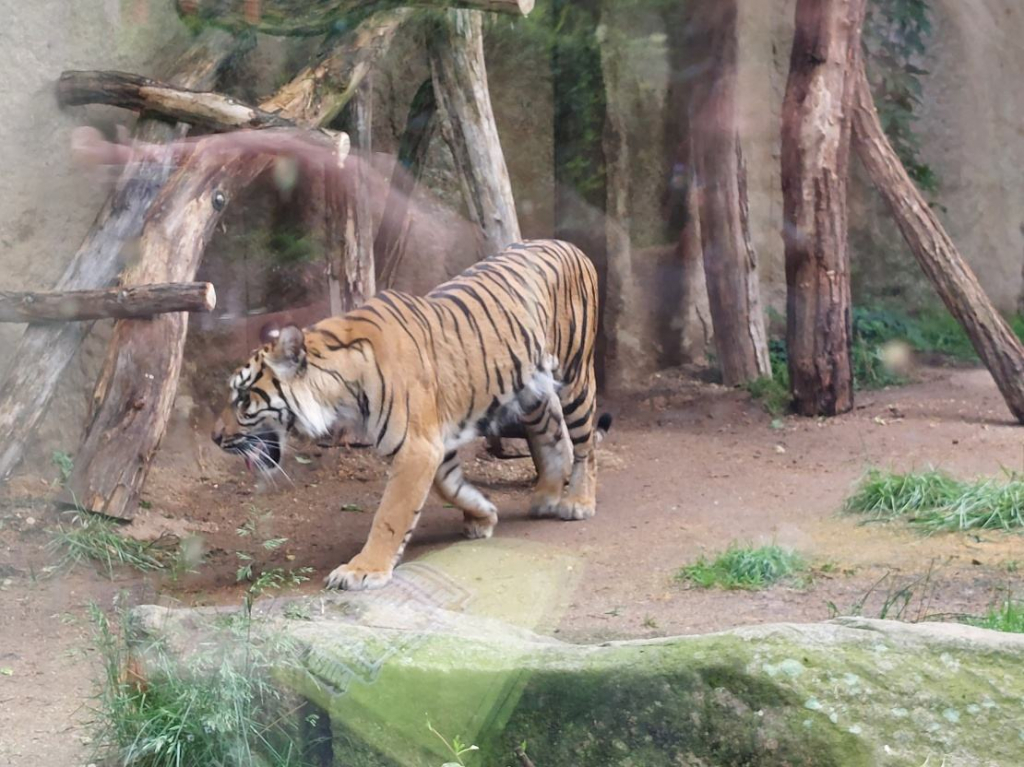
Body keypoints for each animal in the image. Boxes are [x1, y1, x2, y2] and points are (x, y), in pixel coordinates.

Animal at [211, 239, 611, 590]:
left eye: (242, 398)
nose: (215, 437)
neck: (340, 391)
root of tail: (568, 245)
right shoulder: (436, 445)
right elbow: (450, 488)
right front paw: (483, 515)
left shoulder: (417, 446)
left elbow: (391, 514)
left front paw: (362, 570)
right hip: (530, 390)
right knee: (554, 434)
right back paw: (546, 497)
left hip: (575, 374)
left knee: (585, 444)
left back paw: (578, 502)